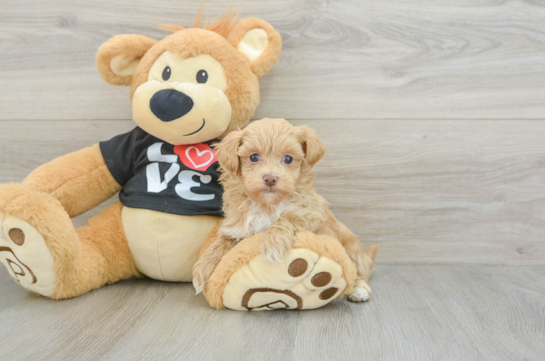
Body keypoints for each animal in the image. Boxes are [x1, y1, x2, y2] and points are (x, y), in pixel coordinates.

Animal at [192, 118, 378, 300]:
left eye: (288, 159)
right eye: (254, 157)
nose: (270, 178)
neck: (267, 204)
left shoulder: (311, 213)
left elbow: (287, 217)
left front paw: (273, 244)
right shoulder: (238, 227)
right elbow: (219, 244)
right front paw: (201, 269)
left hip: (351, 246)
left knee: (359, 270)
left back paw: (359, 289)